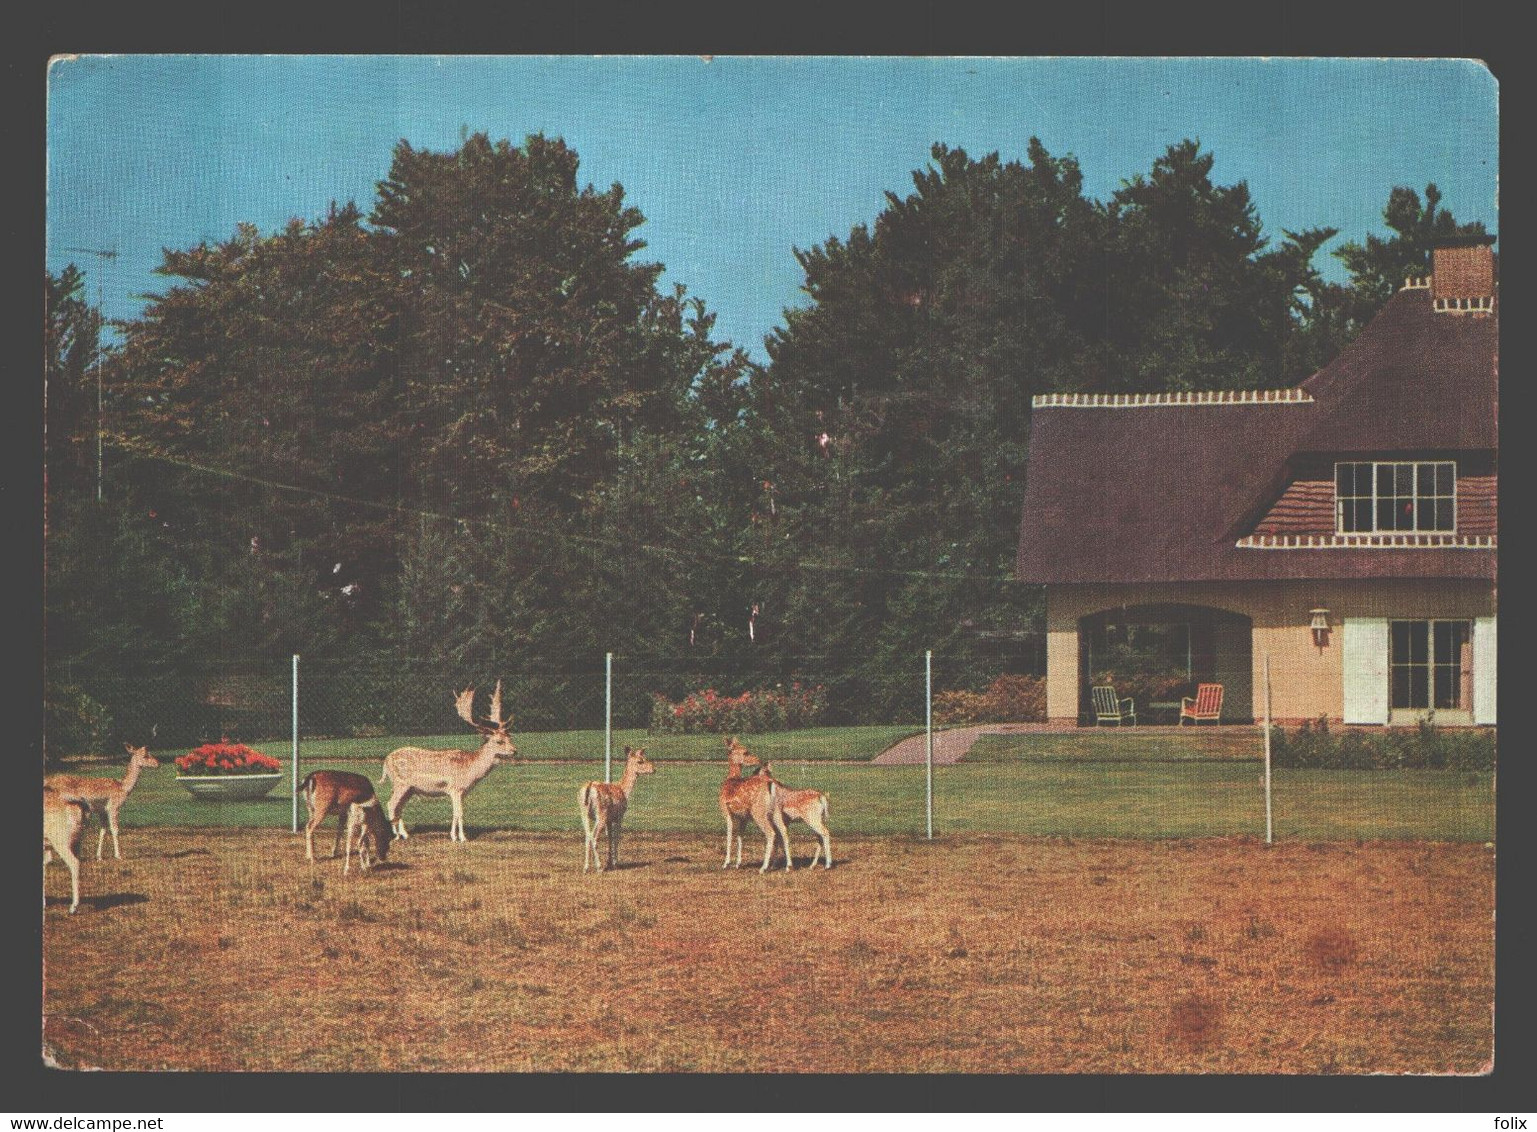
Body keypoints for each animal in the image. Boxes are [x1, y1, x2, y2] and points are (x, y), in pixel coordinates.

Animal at [381, 679, 519, 842]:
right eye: (499, 741)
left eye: (509, 737)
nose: (515, 750)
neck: (470, 770)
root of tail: (385, 762)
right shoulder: (455, 788)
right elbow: (460, 813)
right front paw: (462, 838)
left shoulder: (462, 791)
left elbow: (455, 814)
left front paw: (453, 836)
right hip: (400, 783)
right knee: (391, 804)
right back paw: (395, 835)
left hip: (410, 788)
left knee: (399, 806)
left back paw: (405, 834)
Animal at [719, 735, 786, 873]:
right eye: (745, 752)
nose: (758, 759)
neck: (730, 779)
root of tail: (772, 784)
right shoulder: (743, 817)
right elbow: (740, 837)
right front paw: (738, 864)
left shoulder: (726, 811)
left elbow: (729, 836)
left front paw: (726, 863)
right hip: (776, 811)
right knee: (782, 831)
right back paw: (778, 865)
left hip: (758, 811)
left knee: (771, 833)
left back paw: (763, 867)